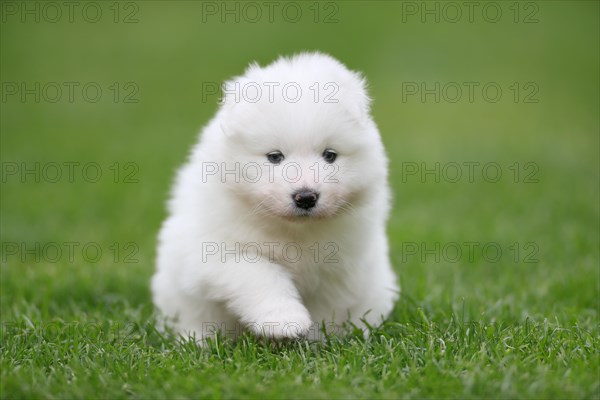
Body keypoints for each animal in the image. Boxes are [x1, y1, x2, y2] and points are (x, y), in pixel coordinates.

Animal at [152, 51, 400, 342]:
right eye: (275, 157)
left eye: (329, 155)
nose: (306, 197)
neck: (294, 231)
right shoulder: (216, 251)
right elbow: (260, 275)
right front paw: (284, 320)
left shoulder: (339, 268)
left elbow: (326, 308)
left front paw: (317, 340)